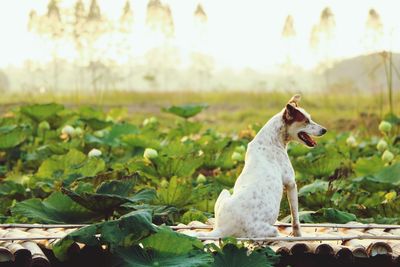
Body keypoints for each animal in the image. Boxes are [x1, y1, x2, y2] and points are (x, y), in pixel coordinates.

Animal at [196, 95, 324, 238]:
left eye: (310, 118)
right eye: (306, 121)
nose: (324, 130)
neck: (272, 140)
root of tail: (222, 229)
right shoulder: (291, 184)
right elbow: (295, 217)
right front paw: (298, 235)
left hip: (224, 193)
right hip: (270, 230)